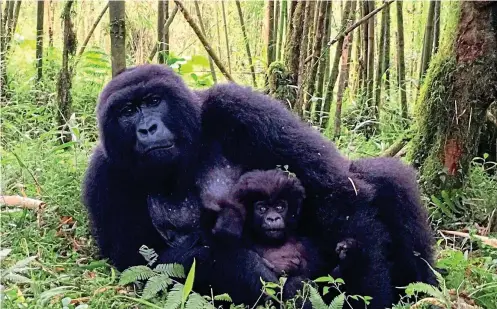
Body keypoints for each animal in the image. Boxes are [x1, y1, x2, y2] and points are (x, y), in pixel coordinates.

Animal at [84, 63, 434, 306]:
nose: (147, 129)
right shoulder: (103, 175)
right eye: (128, 111)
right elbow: (147, 265)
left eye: (154, 101)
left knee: (385, 178)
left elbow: (336, 191)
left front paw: (368, 290)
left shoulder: (236, 105)